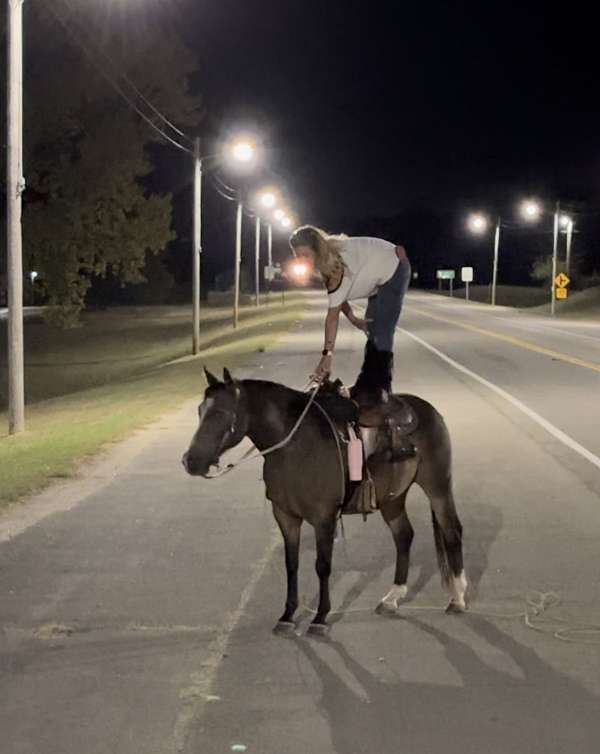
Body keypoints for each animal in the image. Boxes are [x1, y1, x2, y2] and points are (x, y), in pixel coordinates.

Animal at [180, 368, 466, 632]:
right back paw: (392, 598)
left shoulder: (324, 518)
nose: (190, 461)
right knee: (404, 535)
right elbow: (292, 564)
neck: (294, 446)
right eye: (199, 411)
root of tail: (428, 410)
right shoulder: (285, 516)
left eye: (219, 413)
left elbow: (323, 565)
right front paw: (287, 615)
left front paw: (320, 617)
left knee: (451, 530)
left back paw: (458, 597)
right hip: (393, 497)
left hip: (437, 486)